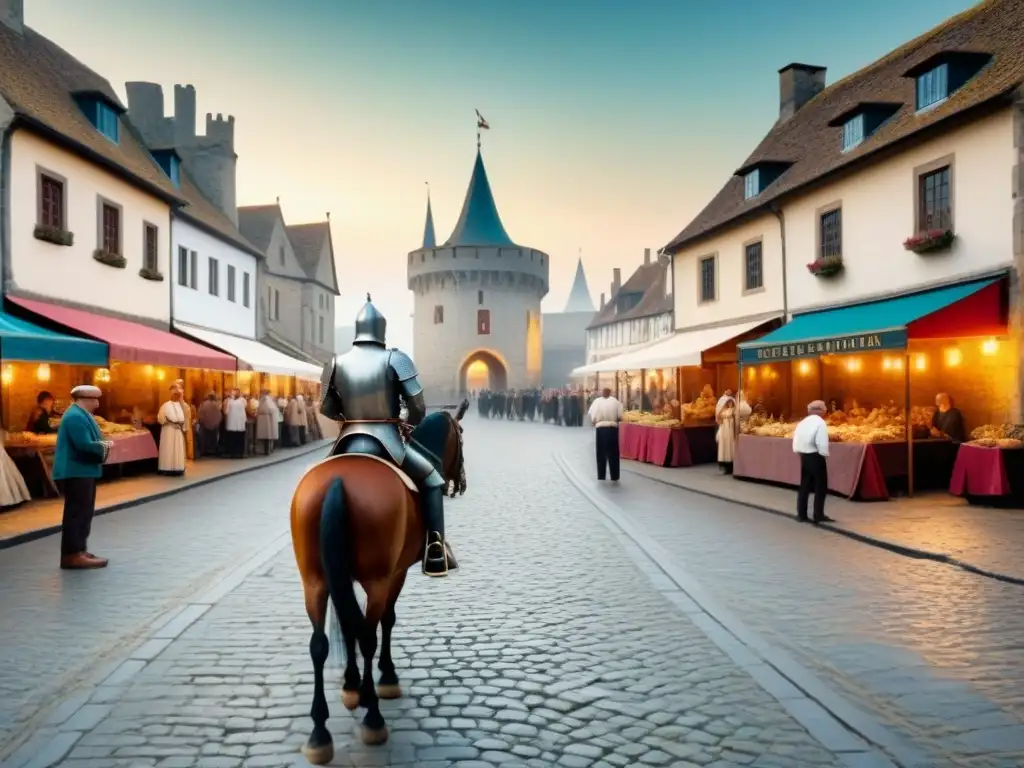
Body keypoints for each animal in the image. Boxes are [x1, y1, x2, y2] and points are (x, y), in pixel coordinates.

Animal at [292, 415, 460, 765]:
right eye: (461, 436)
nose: (460, 484)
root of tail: (338, 480)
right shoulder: (395, 574)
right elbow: (387, 620)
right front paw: (385, 677)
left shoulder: (341, 577)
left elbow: (347, 625)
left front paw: (350, 685)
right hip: (377, 579)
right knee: (368, 637)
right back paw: (373, 718)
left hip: (313, 581)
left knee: (319, 644)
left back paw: (319, 733)